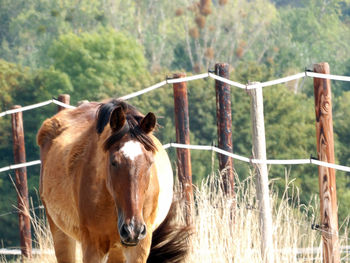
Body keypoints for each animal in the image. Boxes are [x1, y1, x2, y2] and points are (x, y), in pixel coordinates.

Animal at [37, 100, 190, 262]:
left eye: (150, 162)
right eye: (114, 162)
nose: (133, 229)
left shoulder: (139, 247)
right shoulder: (93, 245)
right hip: (61, 234)